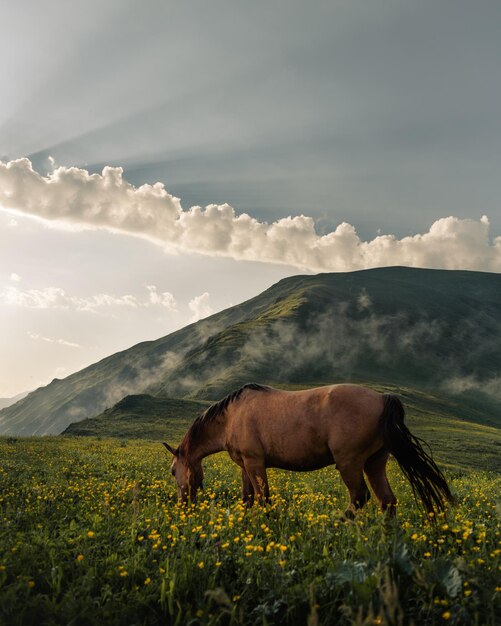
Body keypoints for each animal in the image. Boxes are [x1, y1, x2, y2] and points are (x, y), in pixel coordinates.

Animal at [164, 382, 454, 516]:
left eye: (172, 471)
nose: (182, 506)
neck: (232, 416)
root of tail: (383, 398)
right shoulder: (246, 466)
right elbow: (248, 498)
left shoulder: (255, 463)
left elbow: (263, 498)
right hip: (375, 462)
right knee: (387, 501)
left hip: (349, 463)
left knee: (359, 497)